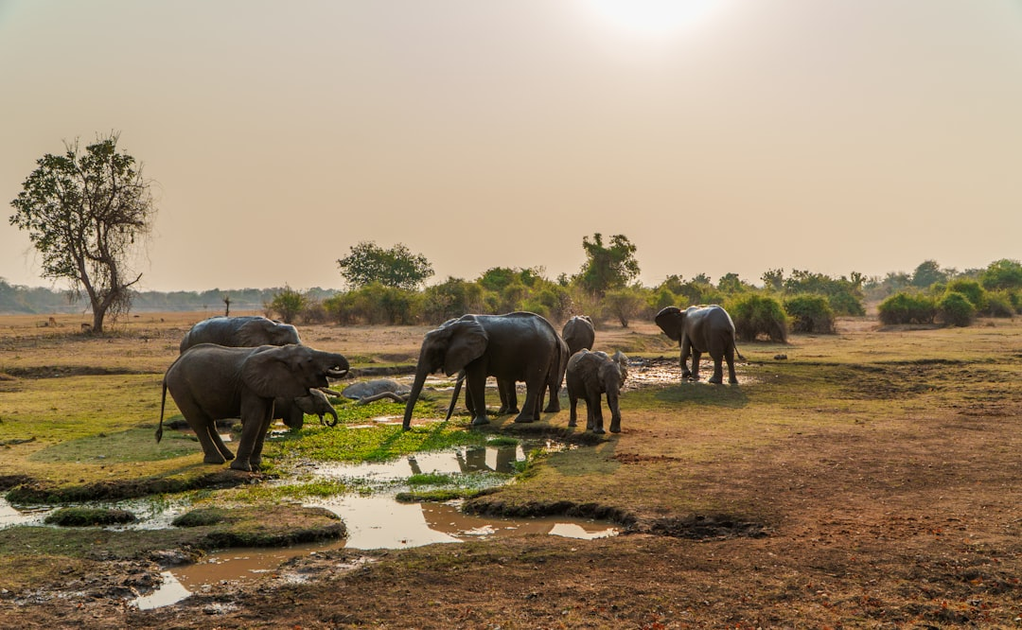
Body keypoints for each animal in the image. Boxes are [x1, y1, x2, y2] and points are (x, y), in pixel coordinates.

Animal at [157, 343, 349, 471]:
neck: (279, 351)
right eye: (310, 360)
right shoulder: (249, 386)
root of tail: (170, 368)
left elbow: (265, 419)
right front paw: (241, 468)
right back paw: (217, 461)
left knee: (209, 422)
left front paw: (257, 464)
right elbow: (254, 418)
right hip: (181, 388)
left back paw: (227, 457)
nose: (328, 422)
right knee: (198, 422)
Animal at [404, 312, 561, 429]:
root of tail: (553, 332)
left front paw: (478, 423)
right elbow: (472, 381)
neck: (451, 327)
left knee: (533, 384)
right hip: (545, 353)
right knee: (540, 383)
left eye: (434, 351)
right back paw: (534, 418)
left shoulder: (481, 352)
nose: (409, 428)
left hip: (539, 352)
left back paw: (521, 420)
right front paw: (474, 420)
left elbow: (476, 380)